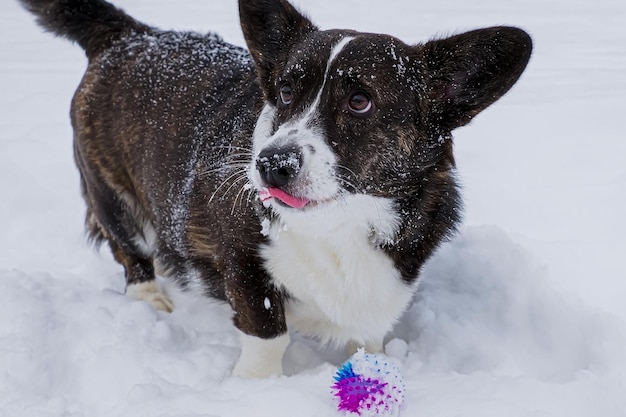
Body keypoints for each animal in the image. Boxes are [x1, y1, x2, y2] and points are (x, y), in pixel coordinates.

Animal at [19, 0, 528, 376]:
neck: (339, 221)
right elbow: (268, 333)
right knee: (129, 252)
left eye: (360, 101)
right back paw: (152, 298)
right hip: (111, 195)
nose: (270, 165)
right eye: (285, 92)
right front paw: (257, 387)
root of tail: (131, 34)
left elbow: (366, 336)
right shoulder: (243, 262)